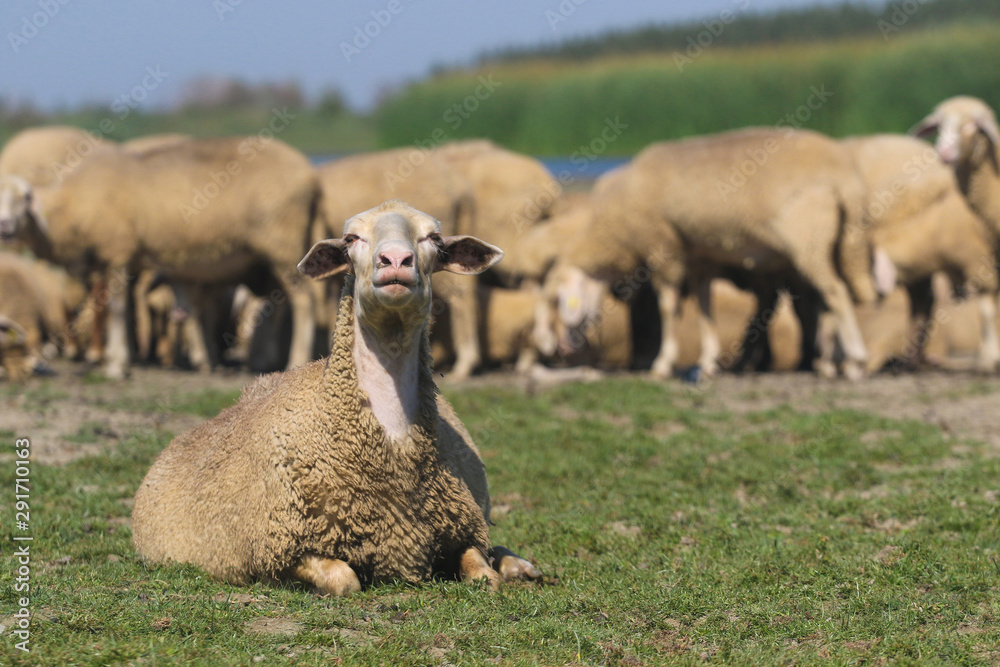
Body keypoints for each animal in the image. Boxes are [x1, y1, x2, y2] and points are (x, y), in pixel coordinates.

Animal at [0, 136, 320, 378]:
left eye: (24, 200)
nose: (5, 227)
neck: (71, 208)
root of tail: (310, 174)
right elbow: (125, 308)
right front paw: (122, 356)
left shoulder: (119, 252)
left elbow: (118, 309)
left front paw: (116, 365)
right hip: (269, 256)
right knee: (278, 304)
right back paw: (266, 361)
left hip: (283, 242)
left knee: (304, 303)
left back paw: (294, 360)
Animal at [132, 200, 542, 594]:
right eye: (351, 238)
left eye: (434, 238)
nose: (395, 260)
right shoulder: (282, 550)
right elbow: (345, 580)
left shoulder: (461, 526)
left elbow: (484, 574)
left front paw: (500, 571)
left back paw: (522, 566)